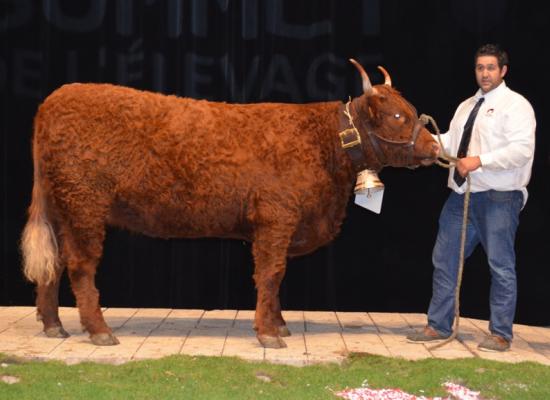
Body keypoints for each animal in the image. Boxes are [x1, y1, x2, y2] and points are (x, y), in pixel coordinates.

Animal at [22, 59, 440, 346]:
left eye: (410, 111)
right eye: (397, 115)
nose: (435, 148)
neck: (323, 142)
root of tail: (54, 100)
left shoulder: (279, 225)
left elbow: (276, 277)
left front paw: (279, 325)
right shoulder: (276, 218)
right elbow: (270, 274)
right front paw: (268, 332)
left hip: (62, 208)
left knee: (54, 263)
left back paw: (53, 326)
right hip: (84, 206)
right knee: (80, 266)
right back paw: (99, 331)